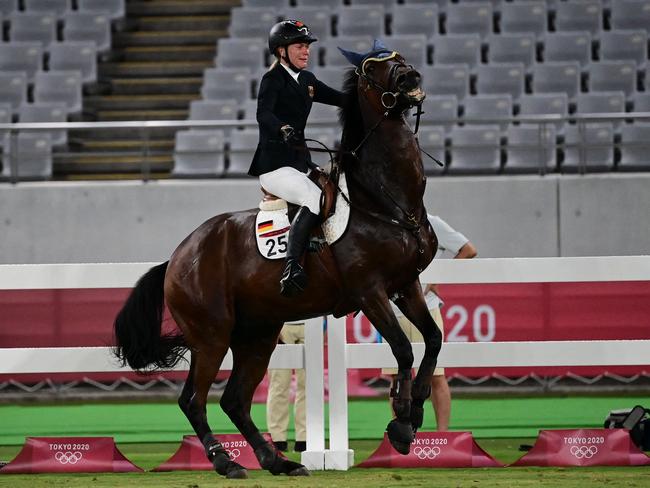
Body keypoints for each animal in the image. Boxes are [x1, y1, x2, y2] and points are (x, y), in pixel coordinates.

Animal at [114, 49, 440, 476]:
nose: (411, 78)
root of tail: (178, 257)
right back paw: (226, 462)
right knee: (194, 400)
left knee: (234, 400)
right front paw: (401, 421)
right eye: (371, 68)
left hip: (257, 335)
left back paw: (277, 461)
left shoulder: (405, 285)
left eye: (398, 56)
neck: (386, 200)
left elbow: (432, 340)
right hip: (211, 336)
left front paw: (415, 411)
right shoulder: (370, 292)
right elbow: (403, 348)